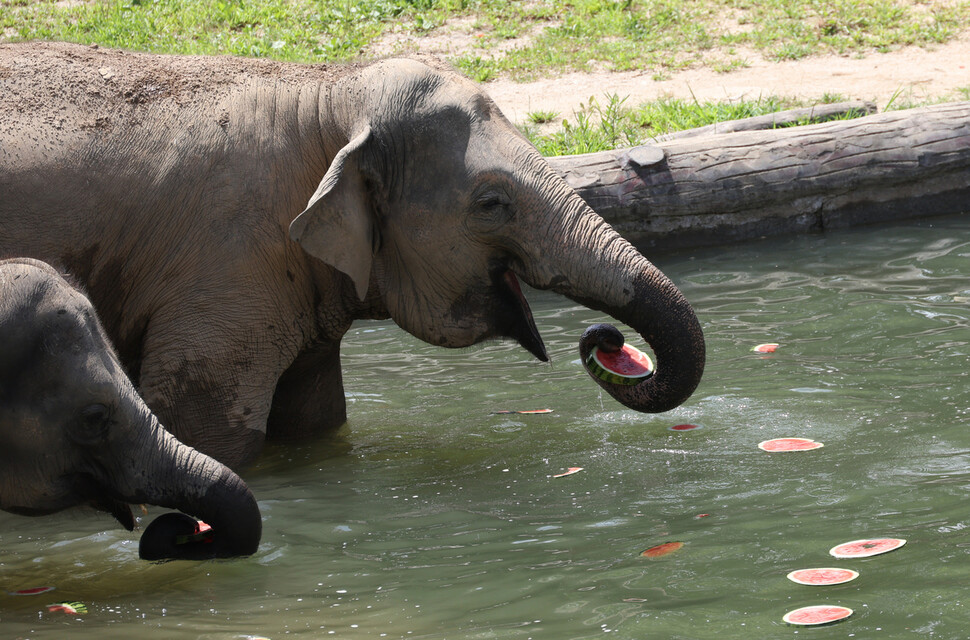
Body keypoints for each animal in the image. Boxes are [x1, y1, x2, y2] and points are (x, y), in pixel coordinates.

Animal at [0, 41, 700, 470]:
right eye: (492, 203)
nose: (606, 339)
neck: (324, 93)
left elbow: (316, 421)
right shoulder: (224, 267)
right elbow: (202, 432)